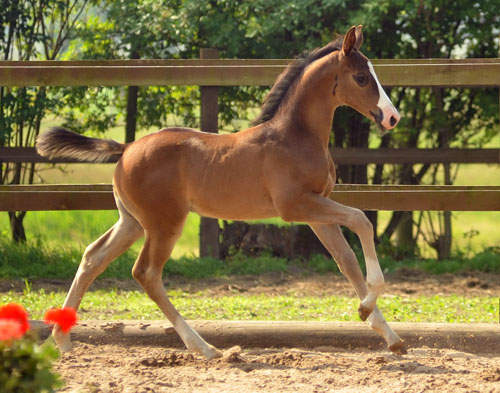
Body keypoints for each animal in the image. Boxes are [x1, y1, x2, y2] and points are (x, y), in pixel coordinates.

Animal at [38, 26, 406, 358]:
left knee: (93, 257)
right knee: (145, 273)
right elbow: (361, 220)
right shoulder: (296, 206)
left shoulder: (317, 209)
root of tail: (126, 148)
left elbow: (346, 261)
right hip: (163, 224)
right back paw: (204, 347)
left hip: (132, 222)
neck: (294, 137)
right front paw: (367, 306)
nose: (392, 117)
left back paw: (61, 339)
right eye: (361, 78)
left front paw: (388, 334)